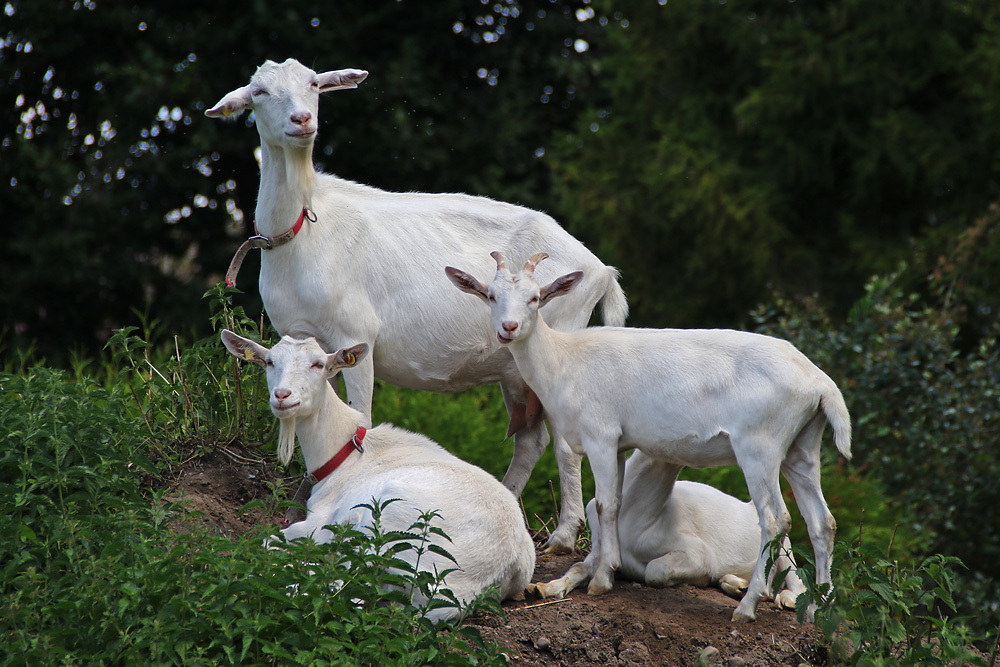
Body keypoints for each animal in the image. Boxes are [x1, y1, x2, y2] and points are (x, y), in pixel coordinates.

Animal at [205, 60, 624, 556]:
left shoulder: (354, 334)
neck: (305, 230)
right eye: (260, 92)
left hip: (560, 338)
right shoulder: (298, 331)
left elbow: (361, 417)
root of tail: (599, 269)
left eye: (314, 83)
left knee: (562, 441)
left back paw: (562, 535)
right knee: (531, 438)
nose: (302, 121)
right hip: (513, 367)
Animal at [221, 332, 540, 624]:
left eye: (318, 364)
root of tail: (503, 565)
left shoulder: (320, 521)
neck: (345, 453)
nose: (282, 395)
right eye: (269, 362)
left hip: (394, 525)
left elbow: (270, 539)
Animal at [528, 452, 808, 612]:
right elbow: (577, 567)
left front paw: (700, 579)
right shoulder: (598, 547)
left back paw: (784, 598)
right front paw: (543, 588)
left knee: (790, 581)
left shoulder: (697, 552)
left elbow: (654, 571)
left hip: (784, 545)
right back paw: (736, 584)